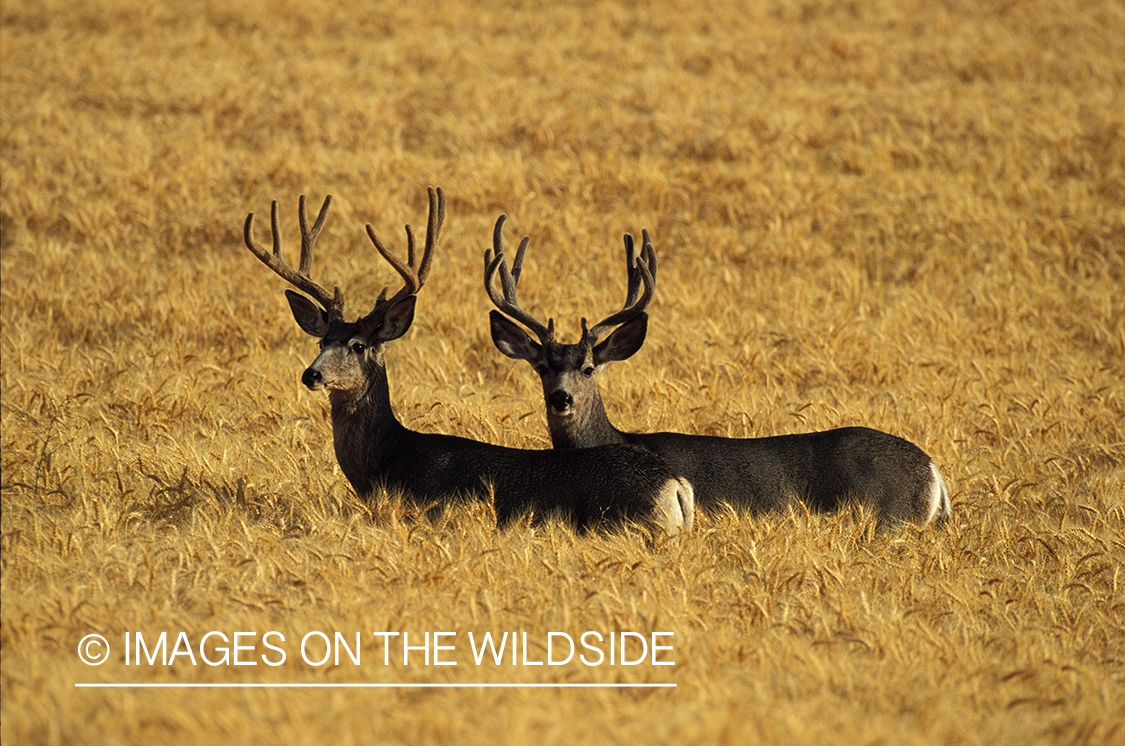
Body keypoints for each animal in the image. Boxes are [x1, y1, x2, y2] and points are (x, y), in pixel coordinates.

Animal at [483, 214, 949, 531]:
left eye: (588, 368)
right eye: (543, 367)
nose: (561, 397)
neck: (614, 440)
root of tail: (933, 473)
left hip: (889, 516)